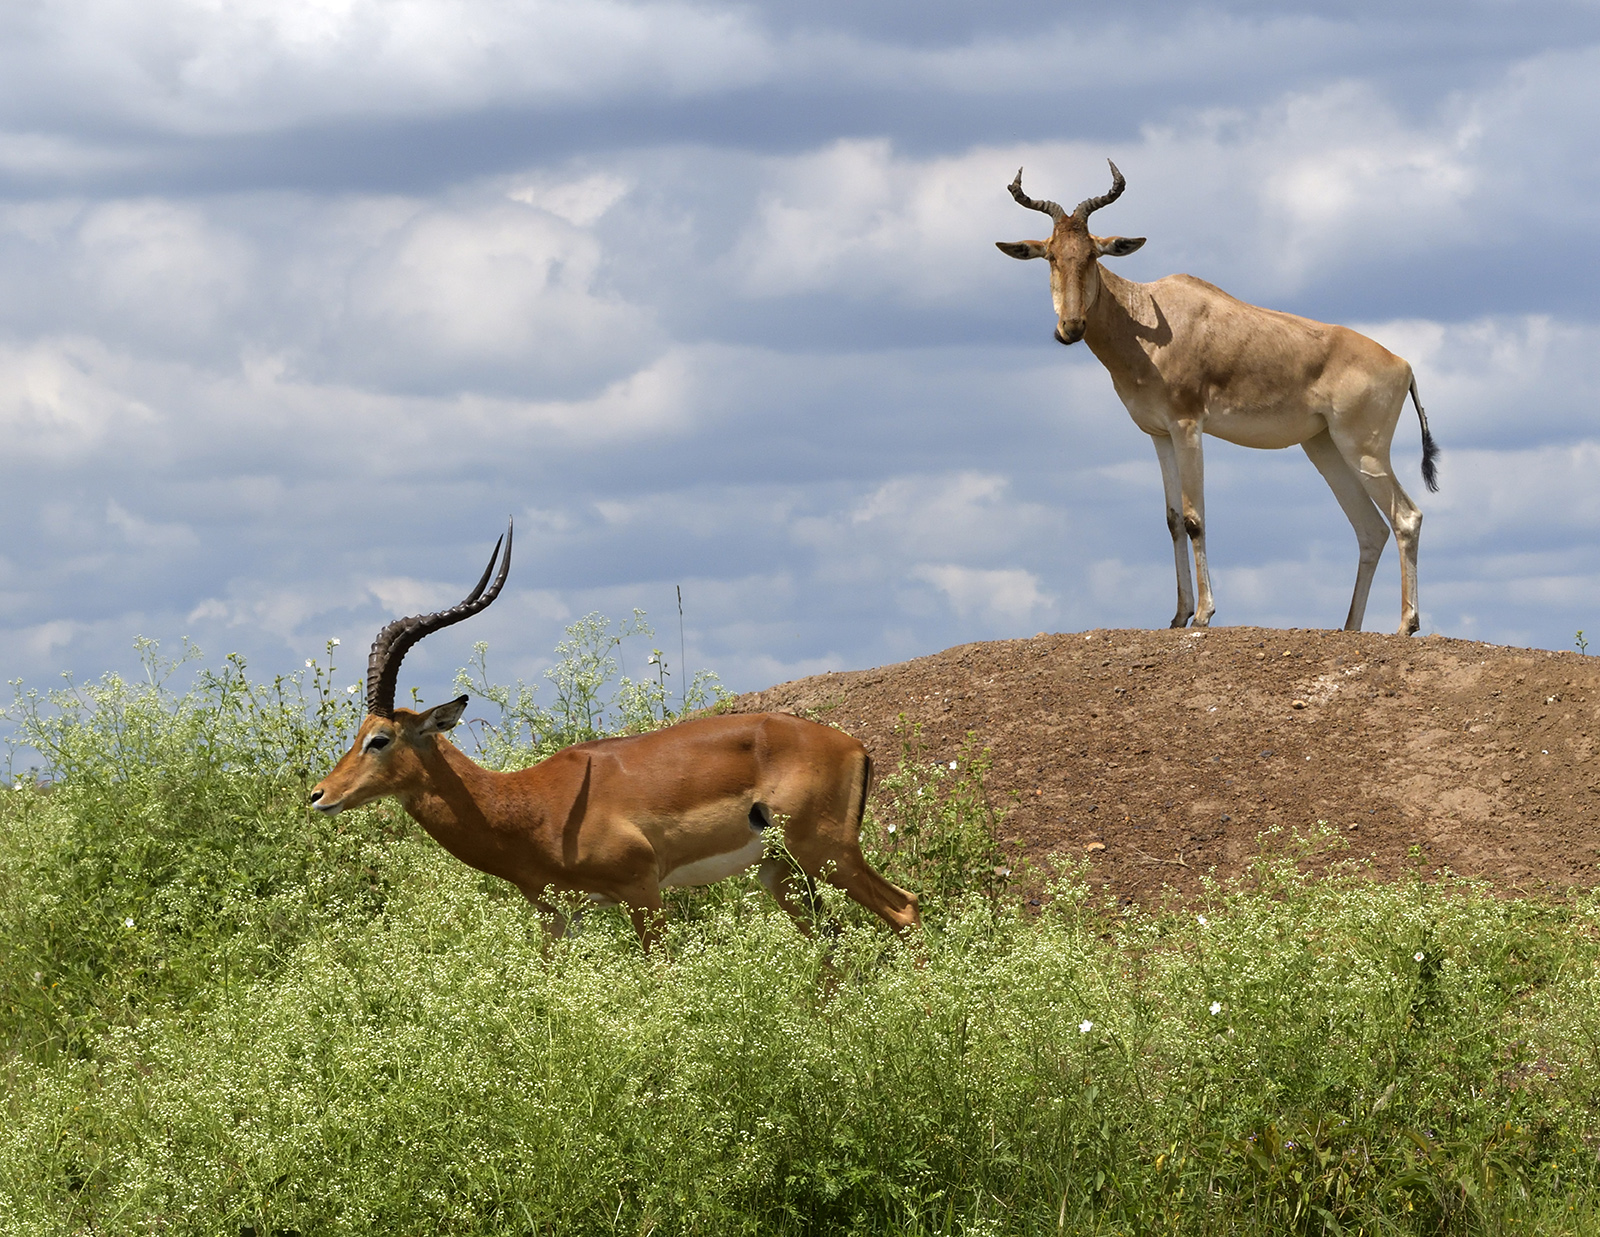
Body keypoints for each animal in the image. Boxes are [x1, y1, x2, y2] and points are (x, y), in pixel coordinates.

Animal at [305, 521, 921, 947]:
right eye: (357, 732)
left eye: (380, 738)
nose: (318, 795)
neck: (528, 803)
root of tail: (853, 745)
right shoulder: (557, 916)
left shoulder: (642, 892)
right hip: (783, 872)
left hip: (824, 853)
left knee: (906, 909)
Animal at [998, 158, 1440, 633]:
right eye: (1051, 255)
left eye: (1093, 254)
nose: (1071, 328)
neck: (1148, 314)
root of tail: (1402, 364)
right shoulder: (1159, 434)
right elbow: (1173, 519)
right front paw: (1178, 615)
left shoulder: (1189, 426)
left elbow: (1195, 518)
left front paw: (1204, 614)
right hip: (1325, 447)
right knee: (1370, 529)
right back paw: (1350, 627)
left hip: (1364, 448)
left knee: (1405, 517)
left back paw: (1406, 625)